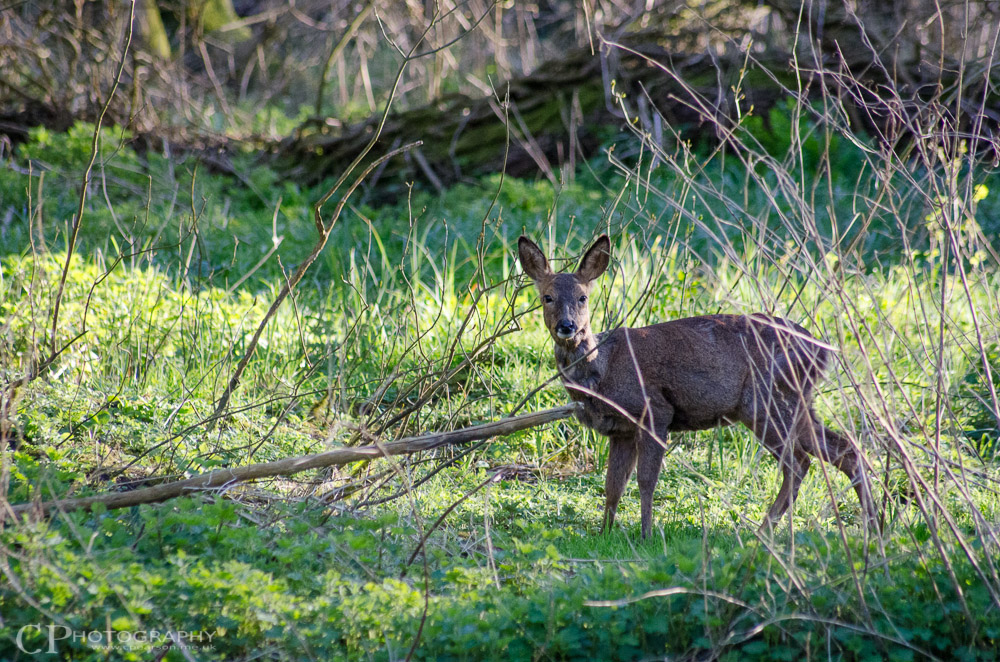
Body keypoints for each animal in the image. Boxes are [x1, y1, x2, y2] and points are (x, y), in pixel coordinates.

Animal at [520, 236, 880, 544]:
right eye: (547, 297)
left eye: (583, 298)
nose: (567, 327)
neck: (602, 370)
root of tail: (823, 352)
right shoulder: (620, 430)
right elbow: (612, 485)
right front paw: (604, 534)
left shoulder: (655, 410)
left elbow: (645, 480)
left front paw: (646, 535)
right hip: (796, 401)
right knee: (843, 449)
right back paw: (874, 526)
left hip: (766, 401)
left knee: (798, 462)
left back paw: (765, 531)